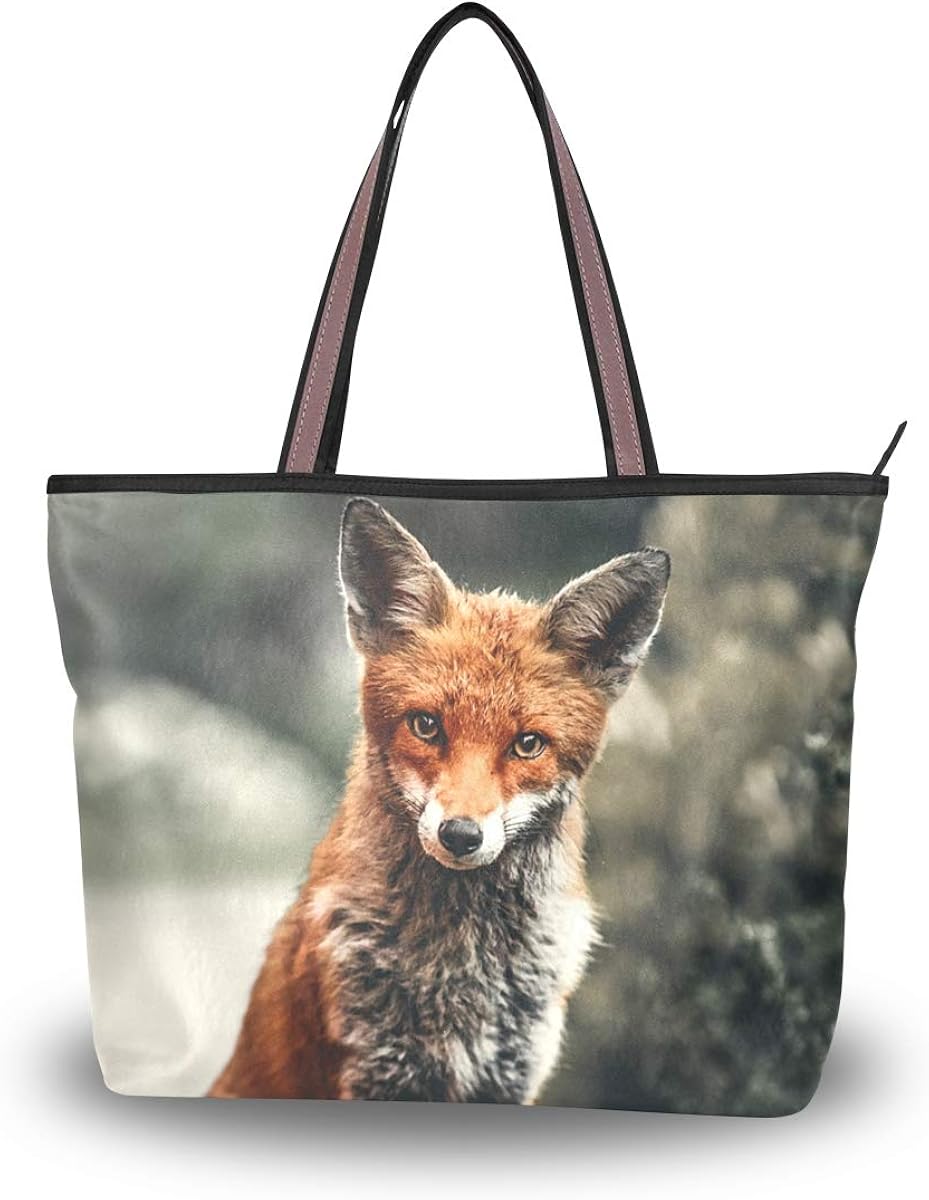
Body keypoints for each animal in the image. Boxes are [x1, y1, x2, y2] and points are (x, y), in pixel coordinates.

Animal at [209, 498, 670, 1103]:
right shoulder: (375, 1069)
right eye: (426, 726)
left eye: (528, 744)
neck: (464, 968)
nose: (461, 835)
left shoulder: (511, 1071)